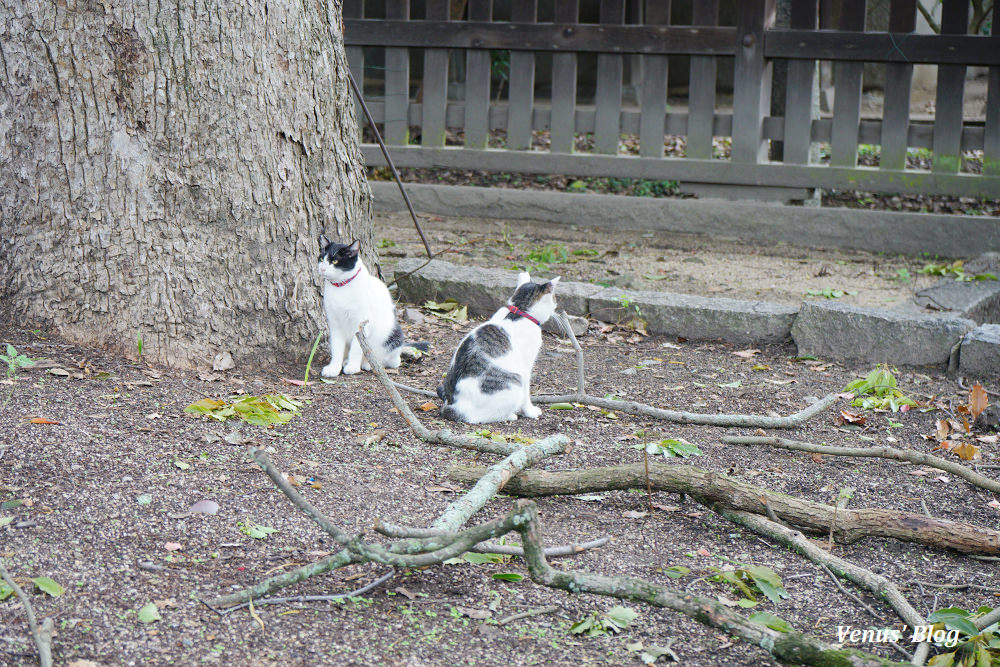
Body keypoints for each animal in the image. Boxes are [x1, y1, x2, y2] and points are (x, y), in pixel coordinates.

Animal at [314, 237, 404, 378]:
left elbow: (356, 348)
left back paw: (368, 364)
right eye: (322, 259)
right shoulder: (335, 324)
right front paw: (334, 368)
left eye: (335, 261)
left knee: (392, 360)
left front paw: (352, 367)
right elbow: (337, 348)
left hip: (393, 334)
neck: (341, 287)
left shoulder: (362, 324)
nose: (322, 269)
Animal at [440, 274, 564, 426]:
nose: (557, 306)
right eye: (554, 298)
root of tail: (455, 407)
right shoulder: (526, 366)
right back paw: (510, 415)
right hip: (514, 383)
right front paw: (530, 411)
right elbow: (526, 393)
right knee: (478, 417)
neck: (519, 313)